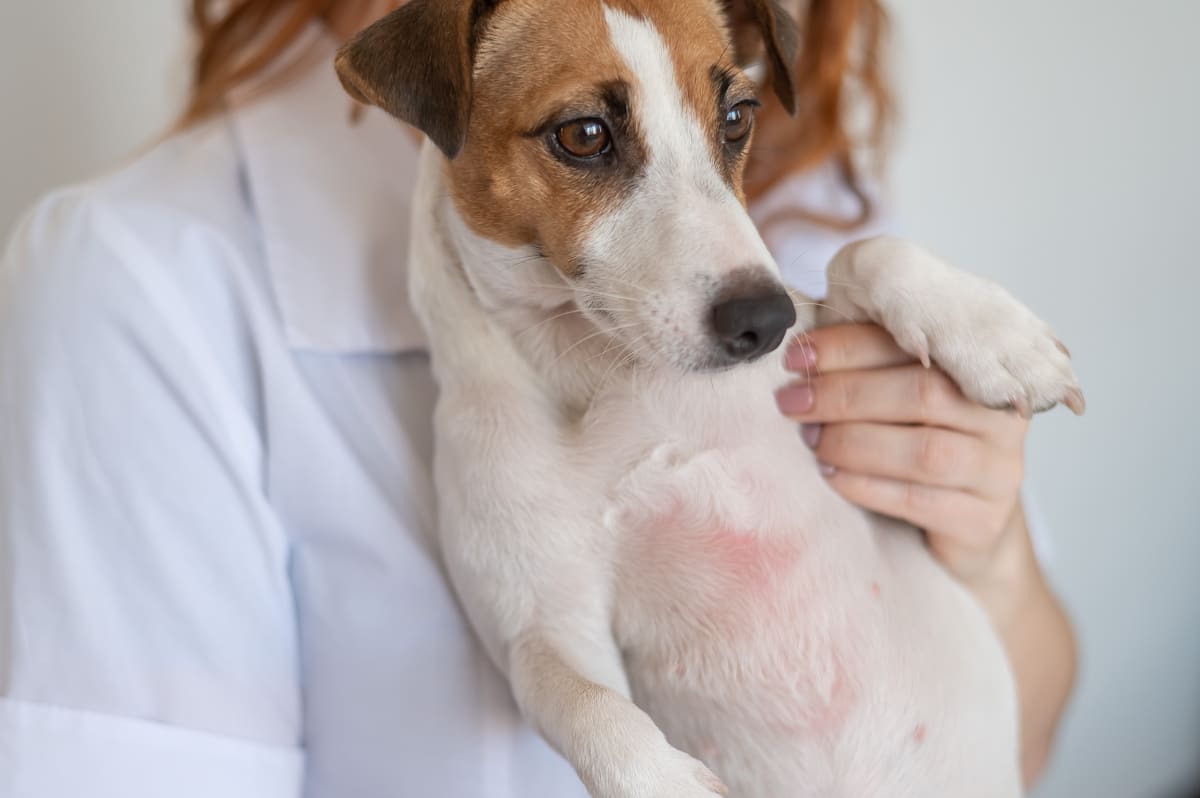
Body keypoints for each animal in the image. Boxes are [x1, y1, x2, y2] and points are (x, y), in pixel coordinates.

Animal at [333, 3, 1084, 792]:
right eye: (584, 135)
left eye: (736, 118)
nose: (765, 320)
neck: (618, 373)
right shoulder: (542, 624)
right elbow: (587, 704)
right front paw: (664, 780)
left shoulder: (808, 346)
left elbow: (865, 253)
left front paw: (996, 334)